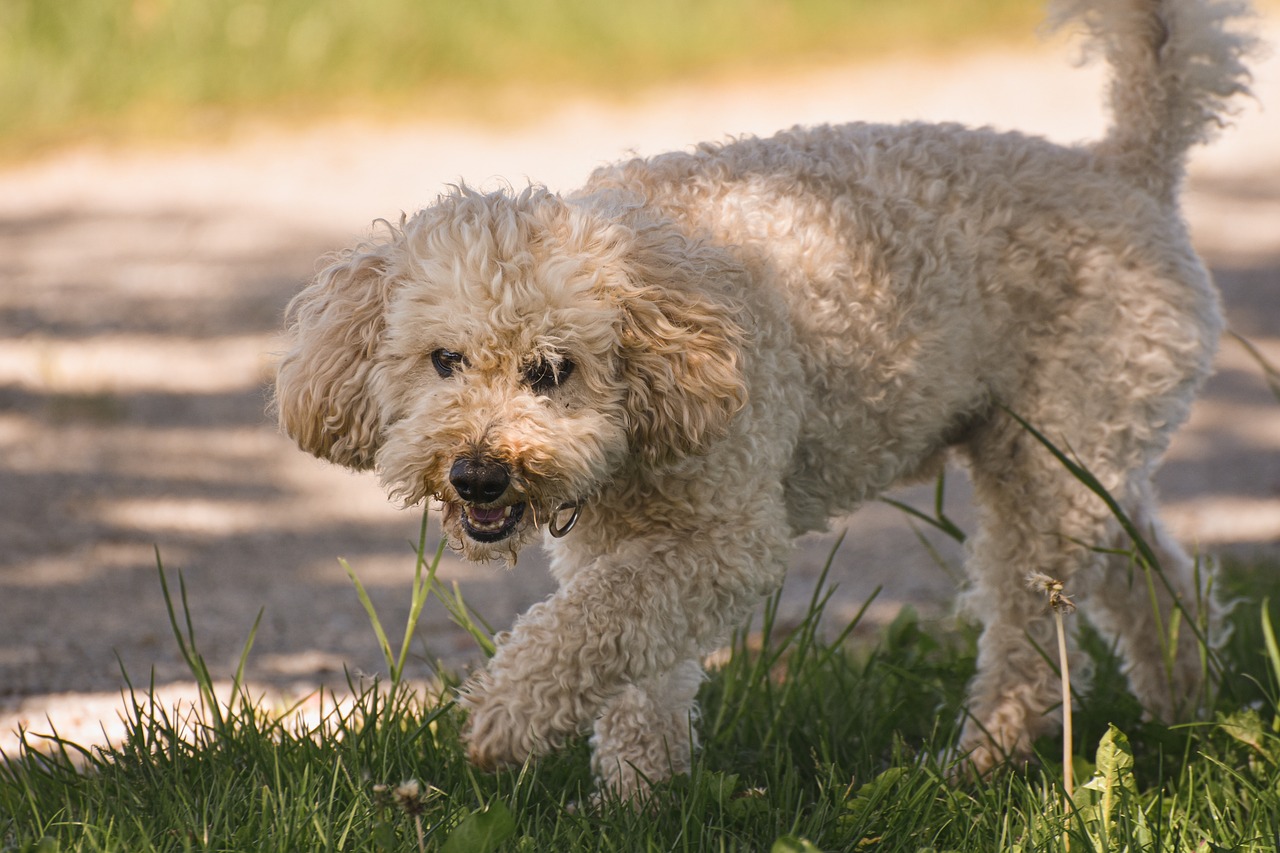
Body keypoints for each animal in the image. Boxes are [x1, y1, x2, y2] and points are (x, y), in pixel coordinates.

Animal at [275, 0, 1254, 799]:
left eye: (553, 370)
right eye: (443, 360)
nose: (477, 474)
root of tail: (1124, 167)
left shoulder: (724, 537)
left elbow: (590, 630)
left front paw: (506, 719)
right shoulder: (616, 546)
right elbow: (630, 656)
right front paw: (639, 792)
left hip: (1051, 461)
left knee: (1028, 638)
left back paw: (984, 757)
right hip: (1067, 453)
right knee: (1148, 568)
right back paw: (1188, 692)